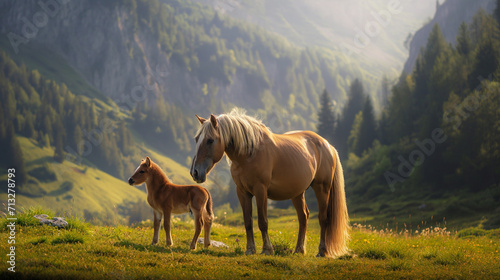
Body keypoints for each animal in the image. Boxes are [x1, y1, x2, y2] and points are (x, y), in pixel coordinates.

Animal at [189, 109, 350, 258]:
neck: (249, 154)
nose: (195, 172)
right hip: (297, 193)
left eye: (210, 140)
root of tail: (327, 145)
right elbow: (248, 222)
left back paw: (322, 251)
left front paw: (267, 249)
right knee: (303, 217)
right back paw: (299, 250)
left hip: (322, 188)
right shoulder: (242, 192)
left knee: (323, 218)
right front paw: (250, 249)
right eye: (196, 139)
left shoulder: (261, 190)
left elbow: (262, 221)